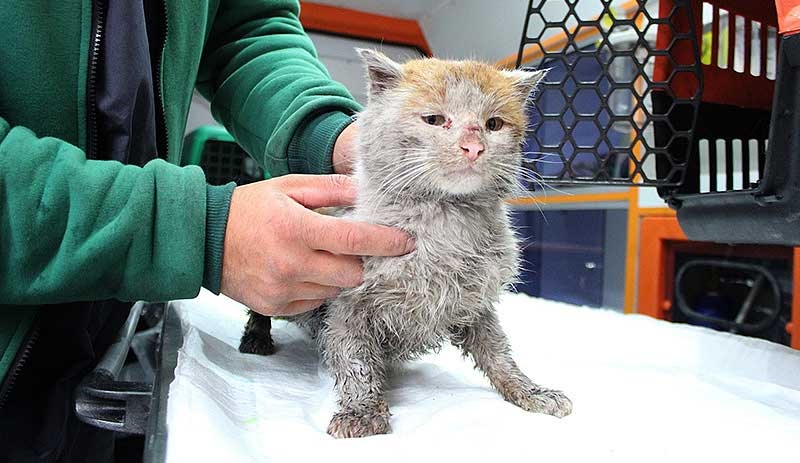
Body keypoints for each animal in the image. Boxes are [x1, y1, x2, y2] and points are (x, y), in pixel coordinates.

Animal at [241, 49, 572, 440]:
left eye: (493, 124)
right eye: (435, 119)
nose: (474, 146)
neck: (444, 223)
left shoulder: (476, 303)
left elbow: (497, 353)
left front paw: (529, 390)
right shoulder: (347, 303)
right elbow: (354, 359)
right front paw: (361, 410)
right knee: (260, 305)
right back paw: (256, 338)